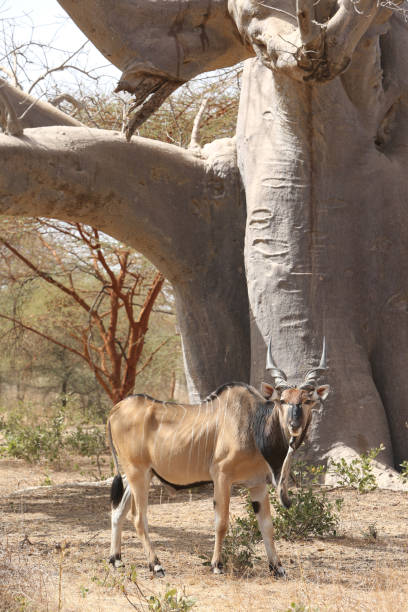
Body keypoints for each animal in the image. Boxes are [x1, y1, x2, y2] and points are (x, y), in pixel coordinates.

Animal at [107, 340, 328, 580]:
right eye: (283, 401)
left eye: (307, 401)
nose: (294, 425)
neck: (255, 425)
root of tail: (115, 409)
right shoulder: (222, 476)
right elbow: (221, 522)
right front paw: (216, 565)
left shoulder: (257, 484)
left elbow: (267, 526)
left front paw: (277, 567)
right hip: (138, 474)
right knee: (138, 518)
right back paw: (155, 565)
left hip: (137, 475)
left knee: (118, 511)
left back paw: (116, 559)